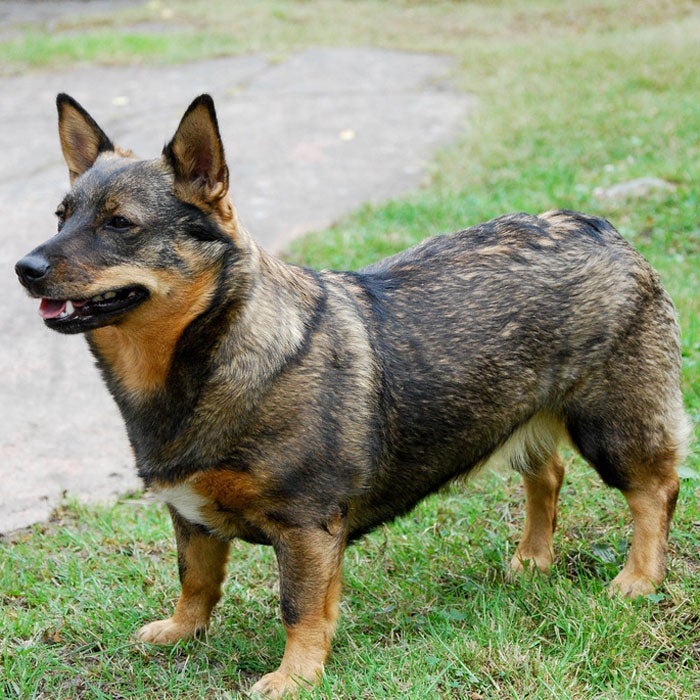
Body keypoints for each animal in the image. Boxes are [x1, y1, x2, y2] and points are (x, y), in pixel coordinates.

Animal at [15, 95, 688, 696]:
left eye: (120, 224)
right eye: (60, 215)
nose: (23, 268)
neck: (212, 354)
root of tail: (600, 229)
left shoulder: (305, 526)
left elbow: (299, 607)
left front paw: (295, 676)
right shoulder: (193, 518)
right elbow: (195, 581)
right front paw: (183, 631)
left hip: (612, 427)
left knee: (654, 490)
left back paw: (639, 578)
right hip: (516, 412)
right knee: (546, 474)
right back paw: (532, 559)